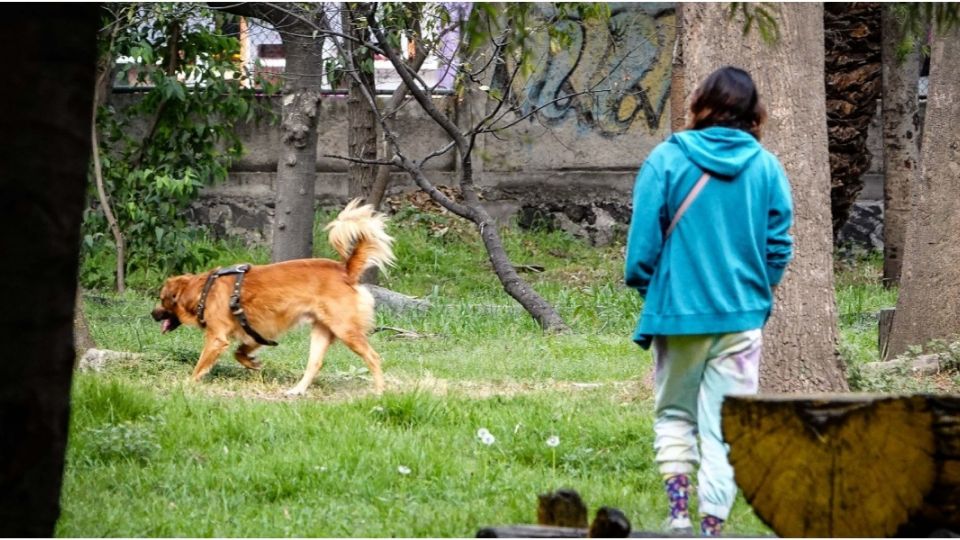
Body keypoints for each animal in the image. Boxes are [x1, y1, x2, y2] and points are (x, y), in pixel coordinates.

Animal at [149, 200, 394, 394]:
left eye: (161, 299)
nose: (152, 314)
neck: (204, 290)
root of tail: (345, 271)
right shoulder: (256, 332)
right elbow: (240, 352)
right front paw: (252, 363)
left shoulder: (217, 338)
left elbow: (200, 366)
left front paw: (187, 383)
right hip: (322, 331)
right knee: (315, 364)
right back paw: (297, 391)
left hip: (345, 329)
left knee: (373, 357)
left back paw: (380, 390)